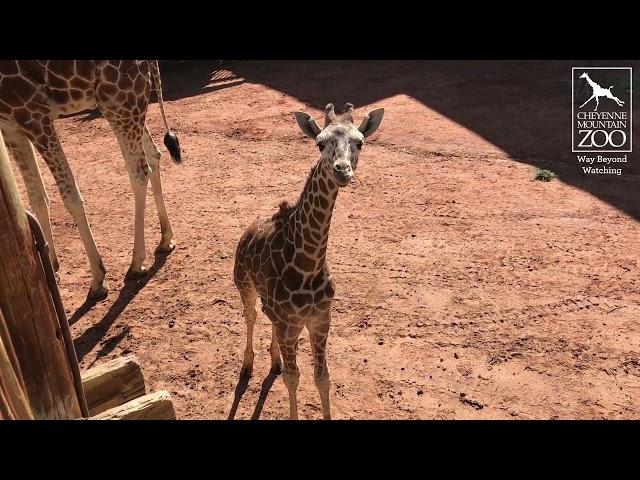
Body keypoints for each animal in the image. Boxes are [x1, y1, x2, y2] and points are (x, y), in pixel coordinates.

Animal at [235, 103, 384, 418]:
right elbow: (293, 379)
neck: (308, 265)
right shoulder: (290, 325)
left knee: (266, 320)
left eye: (360, 142)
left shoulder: (319, 321)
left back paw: (274, 360)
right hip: (243, 285)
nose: (342, 170)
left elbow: (322, 378)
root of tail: (248, 230)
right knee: (251, 317)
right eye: (319, 143)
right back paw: (247, 365)